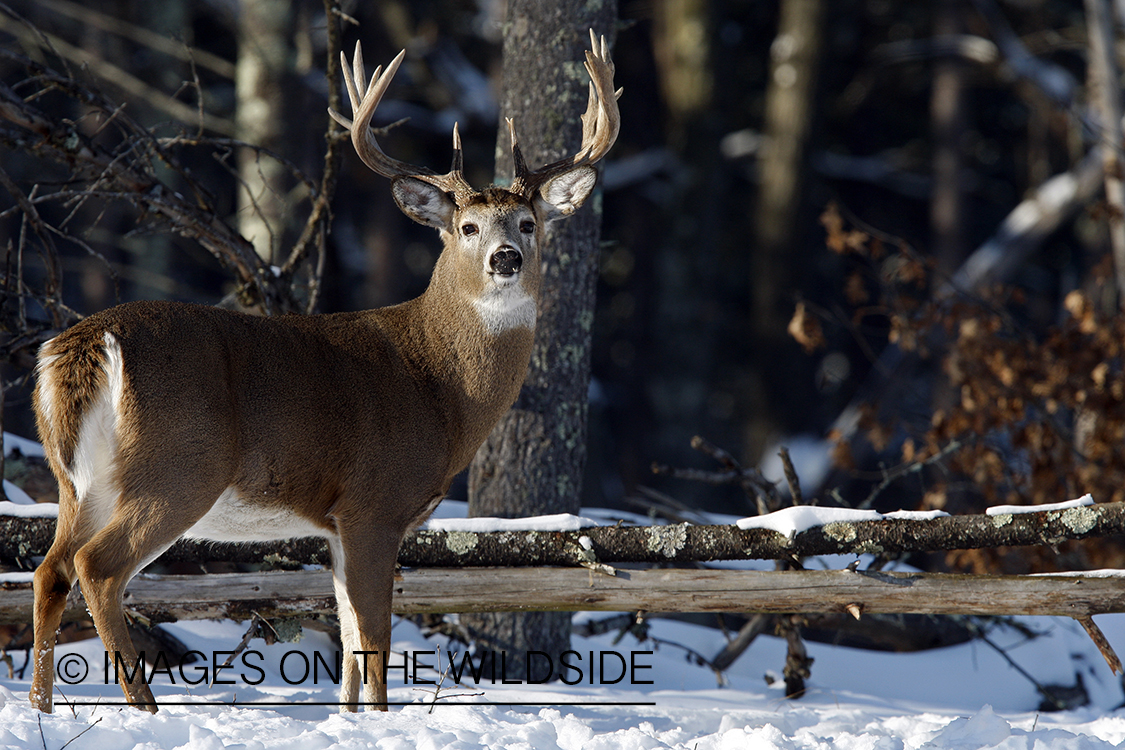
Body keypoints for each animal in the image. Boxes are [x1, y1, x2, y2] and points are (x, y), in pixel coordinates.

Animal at [26, 29, 621, 715]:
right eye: (467, 226)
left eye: (528, 222)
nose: (506, 258)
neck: (442, 387)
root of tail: (85, 342)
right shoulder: (375, 502)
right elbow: (375, 642)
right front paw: (385, 720)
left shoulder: (335, 523)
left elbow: (350, 645)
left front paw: (348, 719)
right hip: (176, 467)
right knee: (97, 568)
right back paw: (143, 707)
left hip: (79, 481)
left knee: (49, 569)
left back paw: (41, 708)